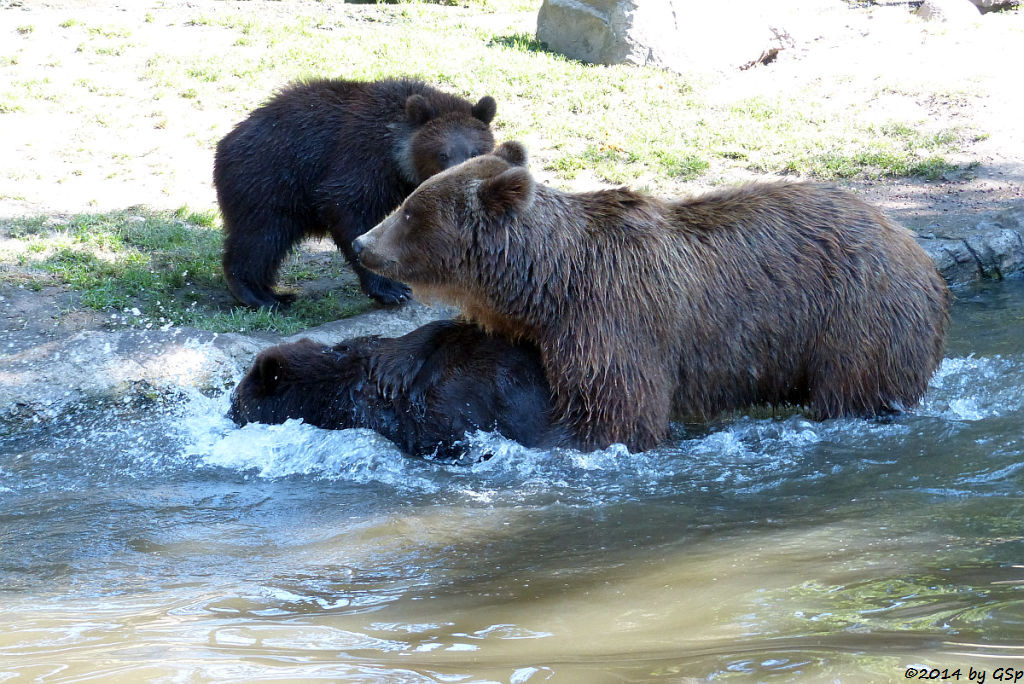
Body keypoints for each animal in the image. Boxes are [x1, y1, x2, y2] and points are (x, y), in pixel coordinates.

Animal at [212, 76, 495, 307]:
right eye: (442, 154)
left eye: (475, 151)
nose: (461, 180)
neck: (396, 157)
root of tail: (225, 142)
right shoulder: (360, 160)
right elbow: (346, 207)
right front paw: (392, 290)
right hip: (271, 181)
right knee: (261, 238)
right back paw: (261, 295)